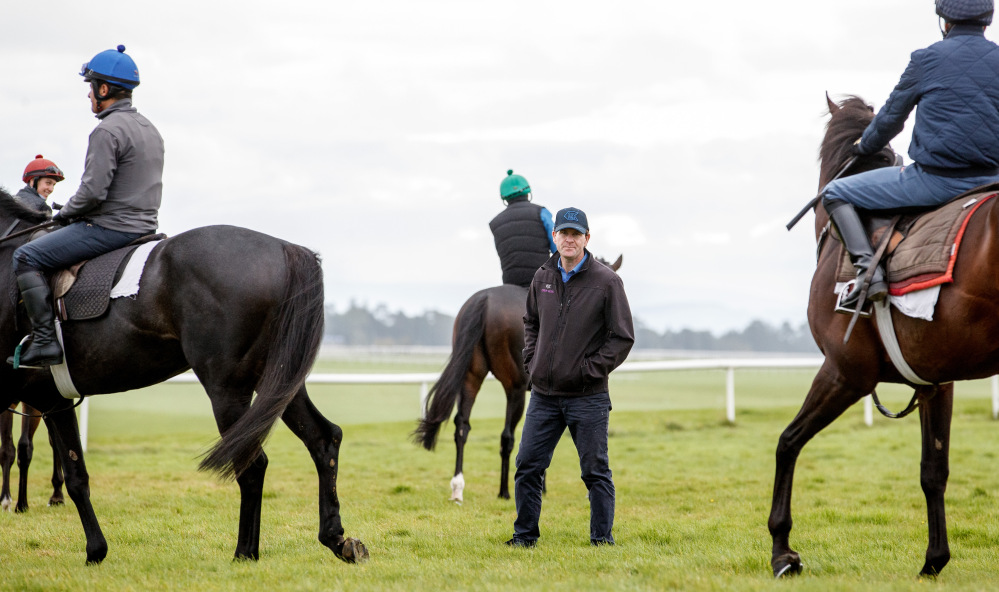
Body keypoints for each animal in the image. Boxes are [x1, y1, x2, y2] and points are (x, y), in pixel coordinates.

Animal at [0, 188, 368, 564]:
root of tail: (285, 248)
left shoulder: (46, 400)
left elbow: (70, 473)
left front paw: (94, 551)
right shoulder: (51, 401)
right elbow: (68, 469)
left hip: (227, 390)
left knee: (252, 464)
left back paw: (245, 553)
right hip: (279, 384)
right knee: (323, 438)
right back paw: (337, 538)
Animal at [412, 256, 616, 504]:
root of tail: (484, 300)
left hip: (471, 376)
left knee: (462, 425)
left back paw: (458, 487)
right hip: (515, 388)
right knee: (506, 436)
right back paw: (504, 491)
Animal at [768, 95, 988, 576]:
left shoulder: (845, 371)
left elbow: (787, 442)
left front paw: (782, 551)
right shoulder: (935, 380)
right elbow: (933, 470)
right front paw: (934, 561)